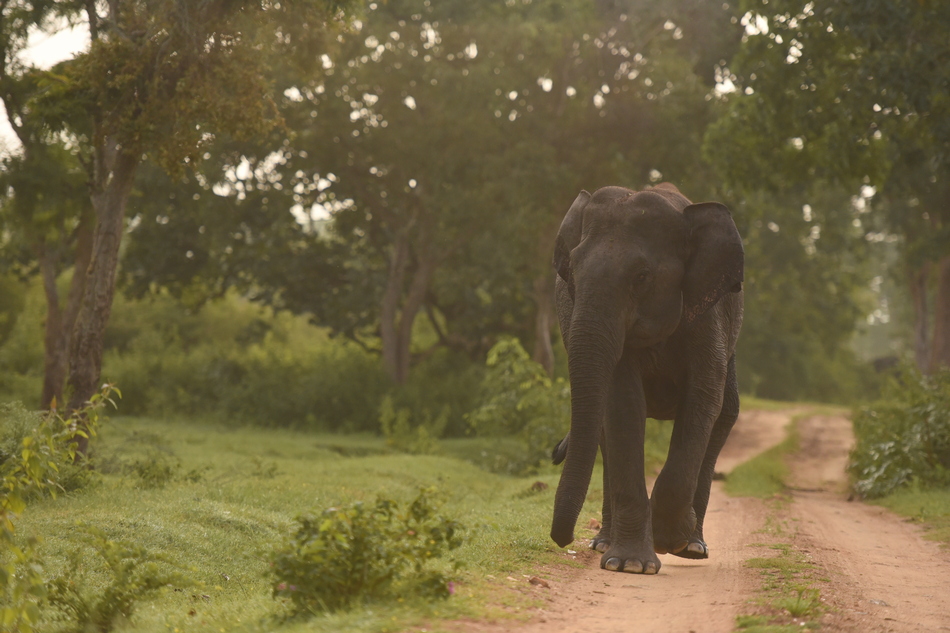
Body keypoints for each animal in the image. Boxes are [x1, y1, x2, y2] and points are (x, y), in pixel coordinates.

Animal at [552, 181, 744, 572]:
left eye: (641, 277)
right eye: (572, 272)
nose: (561, 539)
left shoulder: (709, 315)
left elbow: (704, 398)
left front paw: (670, 540)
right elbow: (624, 404)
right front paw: (629, 564)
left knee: (725, 413)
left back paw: (693, 546)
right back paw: (605, 543)